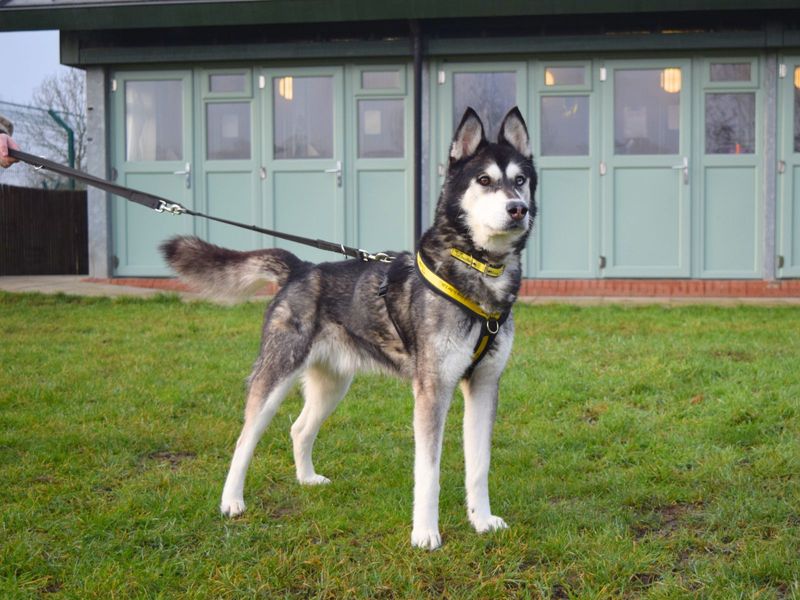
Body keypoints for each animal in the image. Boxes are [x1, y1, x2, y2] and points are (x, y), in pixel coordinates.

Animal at [162, 106, 536, 548]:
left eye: (520, 180)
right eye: (484, 180)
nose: (518, 209)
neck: (478, 272)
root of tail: (301, 268)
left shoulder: (484, 384)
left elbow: (479, 466)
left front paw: (482, 520)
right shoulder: (432, 390)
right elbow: (428, 472)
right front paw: (425, 533)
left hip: (333, 385)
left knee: (299, 429)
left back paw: (307, 479)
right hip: (275, 377)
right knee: (244, 438)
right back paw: (231, 501)